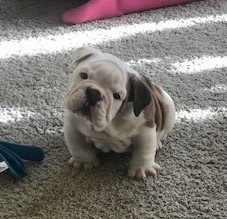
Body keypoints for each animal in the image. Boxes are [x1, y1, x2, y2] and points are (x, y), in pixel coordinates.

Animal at [63, 47, 176, 179]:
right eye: (83, 75)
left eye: (116, 96)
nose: (94, 93)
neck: (107, 124)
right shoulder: (73, 125)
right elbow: (77, 145)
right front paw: (84, 162)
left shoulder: (145, 129)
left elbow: (144, 151)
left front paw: (141, 169)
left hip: (169, 108)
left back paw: (157, 143)